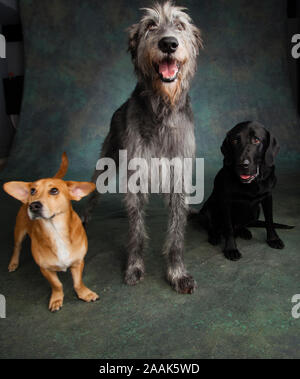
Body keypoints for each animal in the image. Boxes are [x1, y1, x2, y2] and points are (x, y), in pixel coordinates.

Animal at [3, 153, 99, 314]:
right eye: (32, 191)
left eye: (54, 190)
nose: (33, 205)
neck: (56, 231)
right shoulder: (45, 269)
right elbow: (57, 285)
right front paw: (56, 299)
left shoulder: (78, 262)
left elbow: (78, 282)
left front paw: (84, 293)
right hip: (19, 231)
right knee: (17, 247)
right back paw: (13, 263)